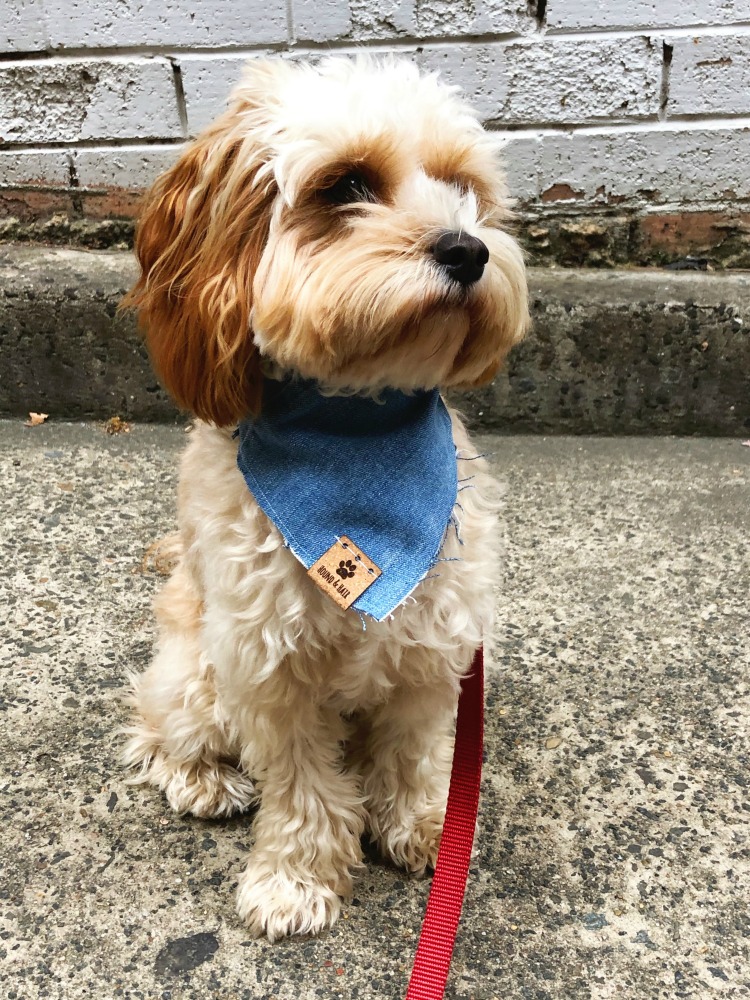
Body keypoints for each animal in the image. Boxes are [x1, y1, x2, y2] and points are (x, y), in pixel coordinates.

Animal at [123, 58, 528, 940]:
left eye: (462, 189)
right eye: (346, 185)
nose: (470, 249)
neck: (357, 436)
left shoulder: (433, 645)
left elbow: (409, 751)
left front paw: (424, 825)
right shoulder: (268, 668)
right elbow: (303, 785)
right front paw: (295, 881)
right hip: (197, 675)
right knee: (154, 725)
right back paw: (202, 778)